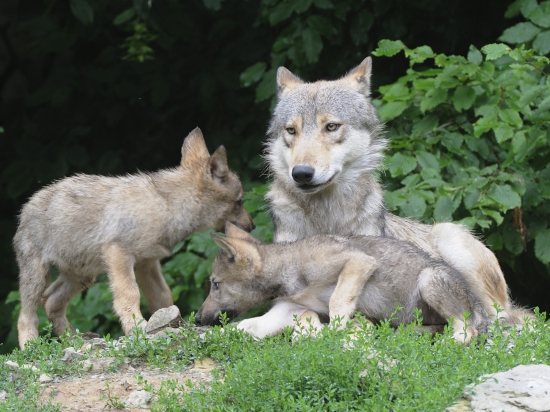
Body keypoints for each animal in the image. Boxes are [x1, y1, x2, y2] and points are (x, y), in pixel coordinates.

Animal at [13, 128, 254, 348]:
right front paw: (136, 328)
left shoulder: (147, 263)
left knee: (51, 301)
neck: (168, 208)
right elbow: (130, 295)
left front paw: (171, 325)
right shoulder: (120, 255)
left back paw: (75, 339)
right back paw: (31, 347)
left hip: (83, 276)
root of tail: (27, 205)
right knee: (26, 314)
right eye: (240, 202)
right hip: (39, 276)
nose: (252, 226)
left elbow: (163, 298)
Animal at [196, 222, 490, 344]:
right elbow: (243, 326)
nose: (197, 318)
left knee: (466, 332)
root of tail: (481, 311)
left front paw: (333, 332)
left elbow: (338, 305)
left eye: (215, 284)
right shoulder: (285, 311)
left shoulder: (357, 261)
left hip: (429, 282)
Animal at [256, 56, 532, 336]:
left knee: (502, 319)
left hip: (450, 236)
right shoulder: (285, 299)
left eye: (331, 126)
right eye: (291, 130)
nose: (301, 173)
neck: (326, 220)